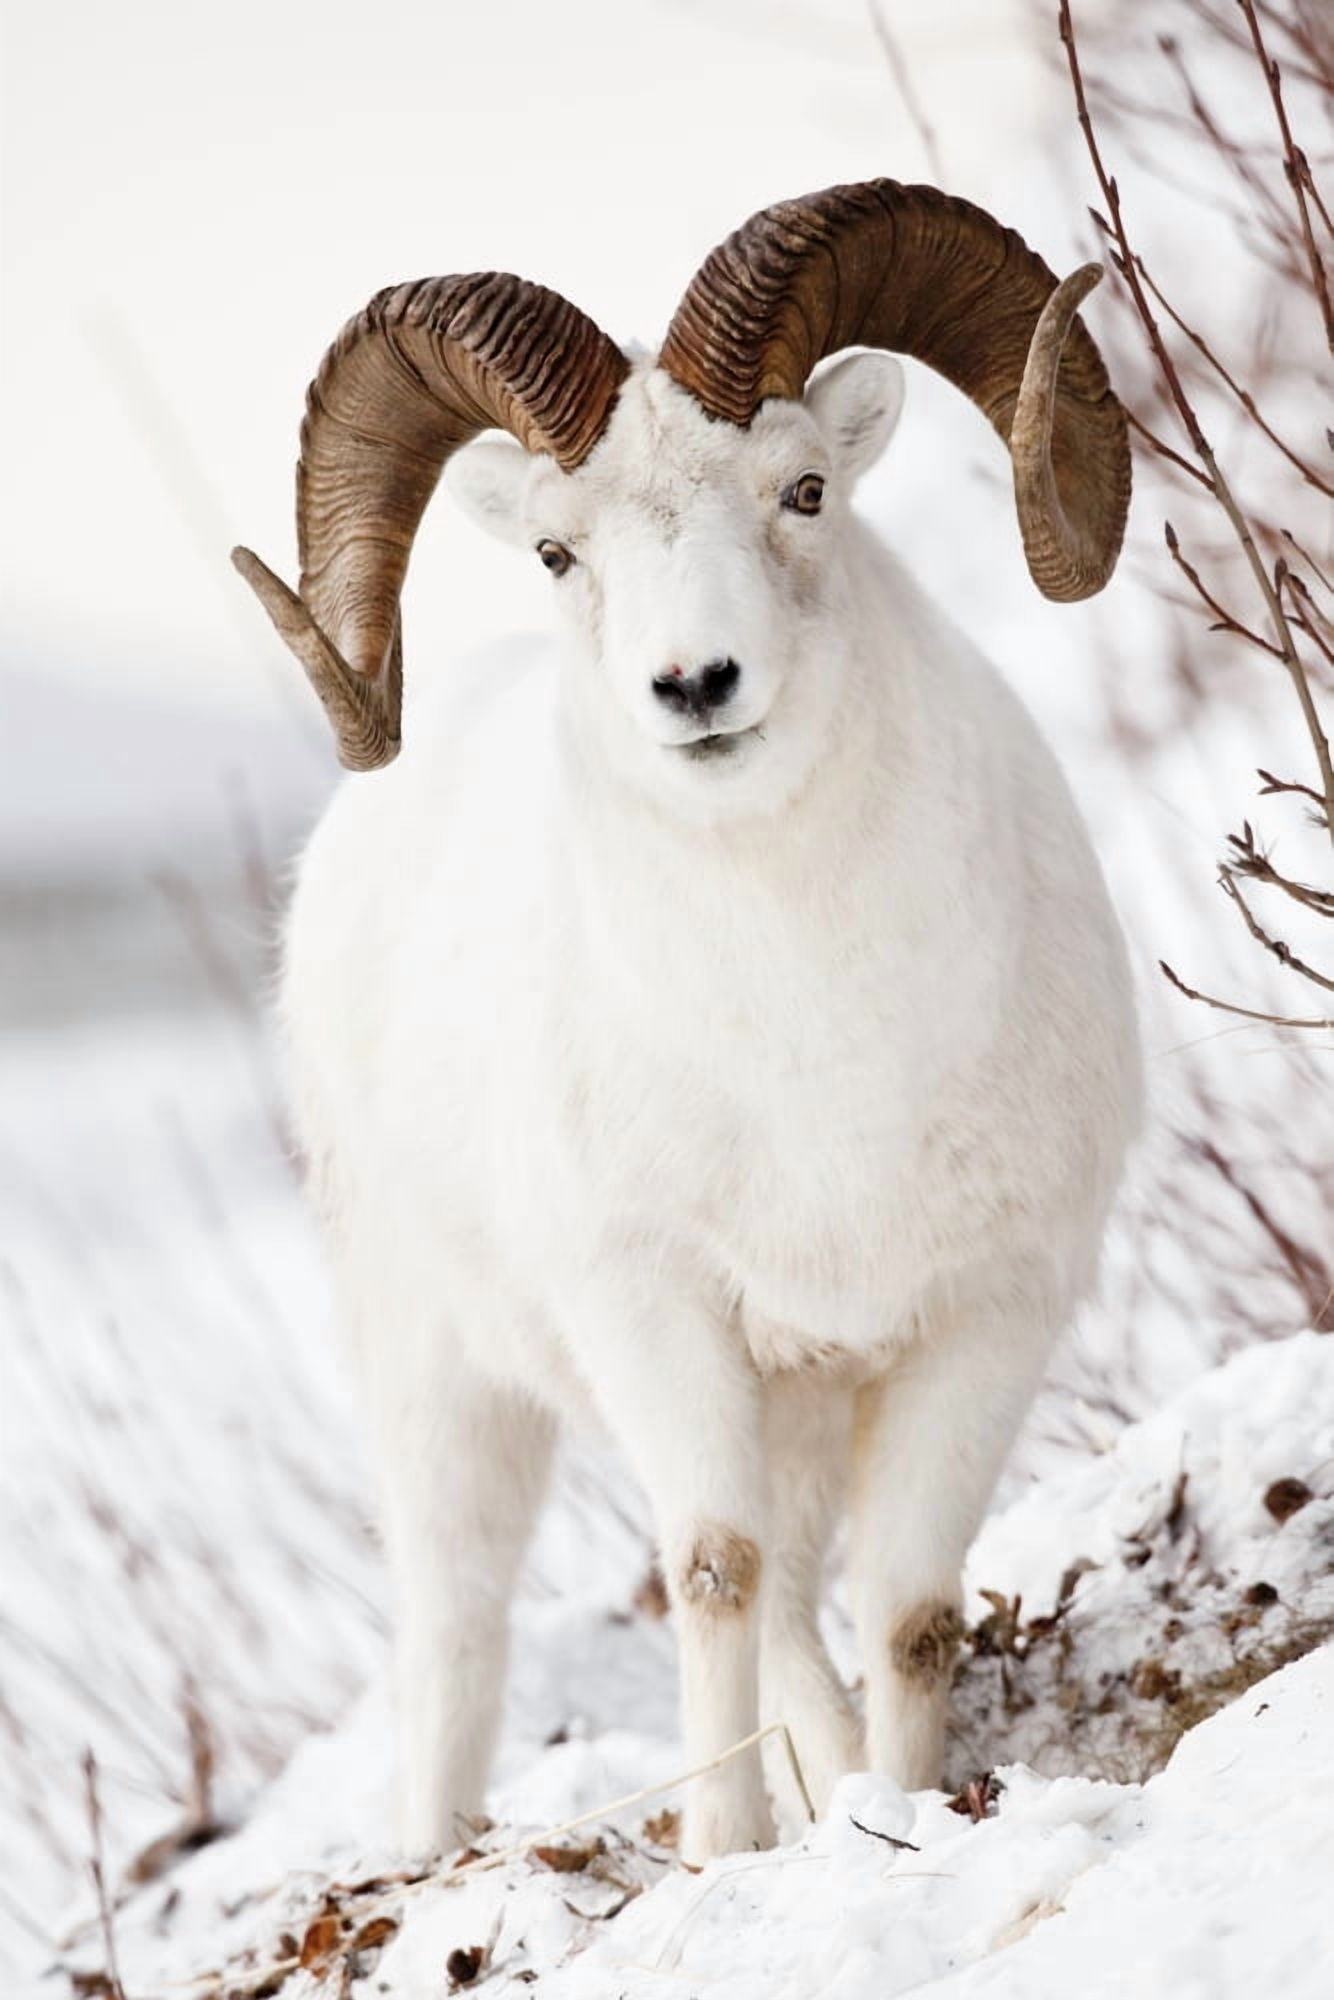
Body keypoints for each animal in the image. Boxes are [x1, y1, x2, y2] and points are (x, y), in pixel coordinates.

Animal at [234, 179, 1142, 1865]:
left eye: (803, 490)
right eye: (555, 549)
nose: (696, 685)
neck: (820, 1057)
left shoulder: (979, 1322)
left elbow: (905, 1611)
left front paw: (902, 1811)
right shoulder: (656, 1318)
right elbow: (712, 1575)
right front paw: (727, 1857)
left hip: (789, 1405)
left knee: (797, 1606)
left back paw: (837, 1784)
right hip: (449, 1386)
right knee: (467, 1630)